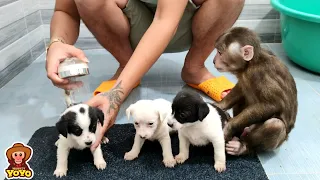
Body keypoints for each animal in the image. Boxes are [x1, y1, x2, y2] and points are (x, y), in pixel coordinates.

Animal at [212, 26, 298, 156]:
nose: (213, 60)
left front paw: (229, 127)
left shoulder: (259, 74)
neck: (251, 63)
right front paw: (219, 105)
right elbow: (241, 89)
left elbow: (272, 104)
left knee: (275, 125)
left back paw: (243, 146)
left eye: (220, 53)